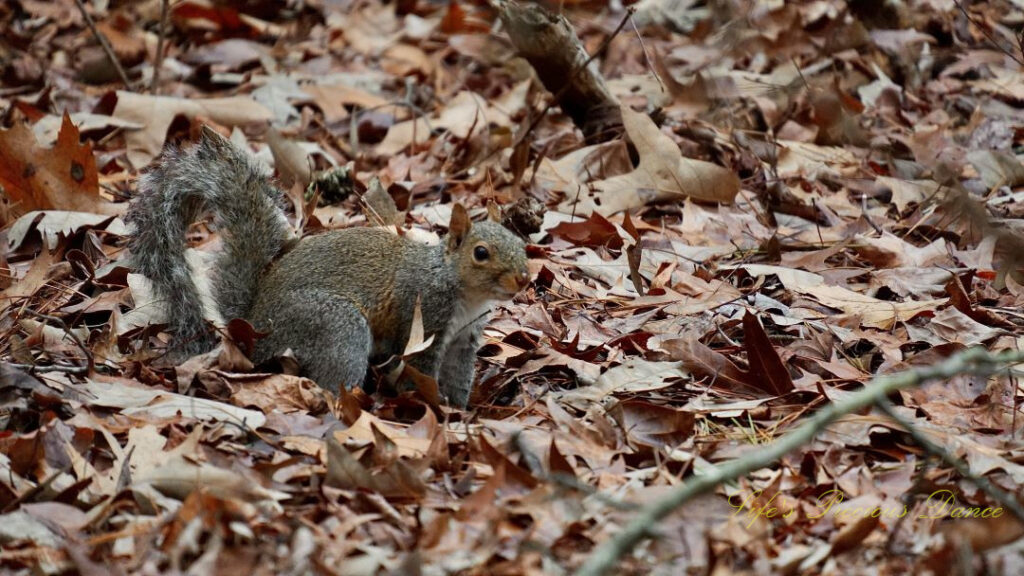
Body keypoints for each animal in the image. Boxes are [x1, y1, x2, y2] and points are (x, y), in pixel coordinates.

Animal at [125, 126, 528, 403]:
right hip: (334, 325)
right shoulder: (424, 316)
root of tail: (252, 326)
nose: (523, 279)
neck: (464, 293)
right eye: (480, 253)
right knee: (333, 377)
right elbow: (421, 368)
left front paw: (460, 409)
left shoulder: (465, 338)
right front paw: (434, 405)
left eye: (522, 243)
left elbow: (460, 376)